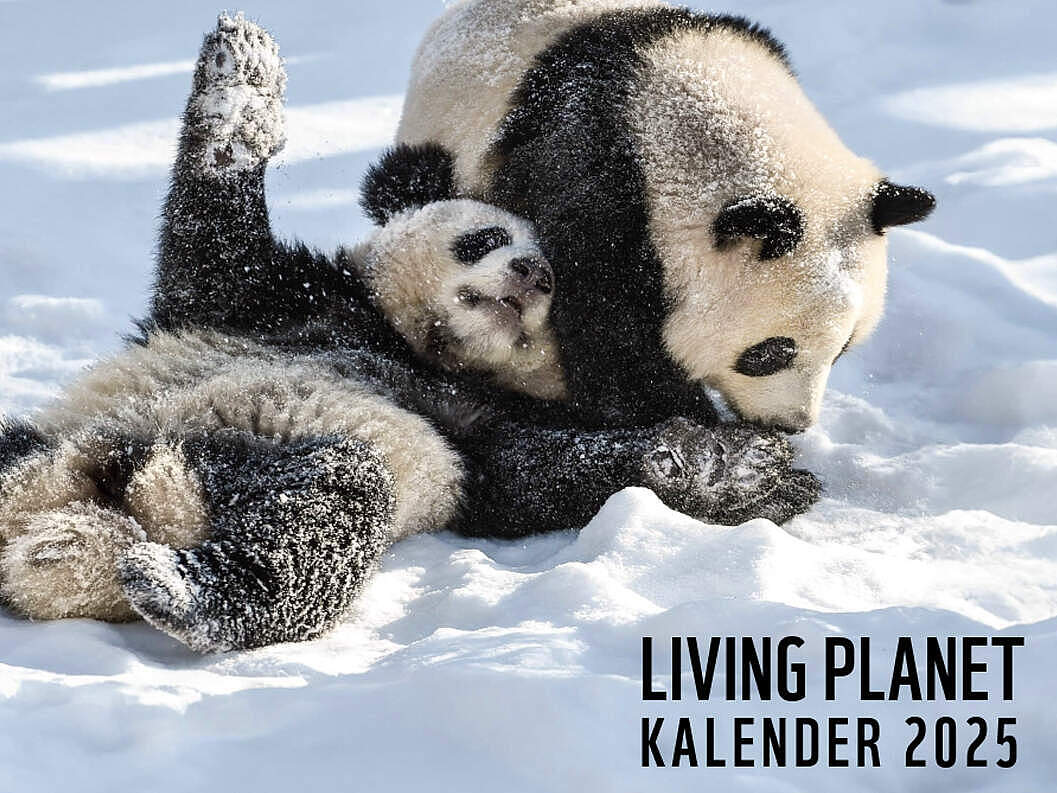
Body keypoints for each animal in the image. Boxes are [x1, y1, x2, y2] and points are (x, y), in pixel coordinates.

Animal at [0, 14, 819, 652]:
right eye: (488, 235)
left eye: (558, 287)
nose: (533, 273)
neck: (407, 345)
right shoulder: (269, 303)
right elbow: (211, 244)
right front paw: (243, 72)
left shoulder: (475, 434)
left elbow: (553, 469)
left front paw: (742, 469)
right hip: (57, 435)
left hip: (269, 459)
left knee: (323, 515)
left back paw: (180, 590)